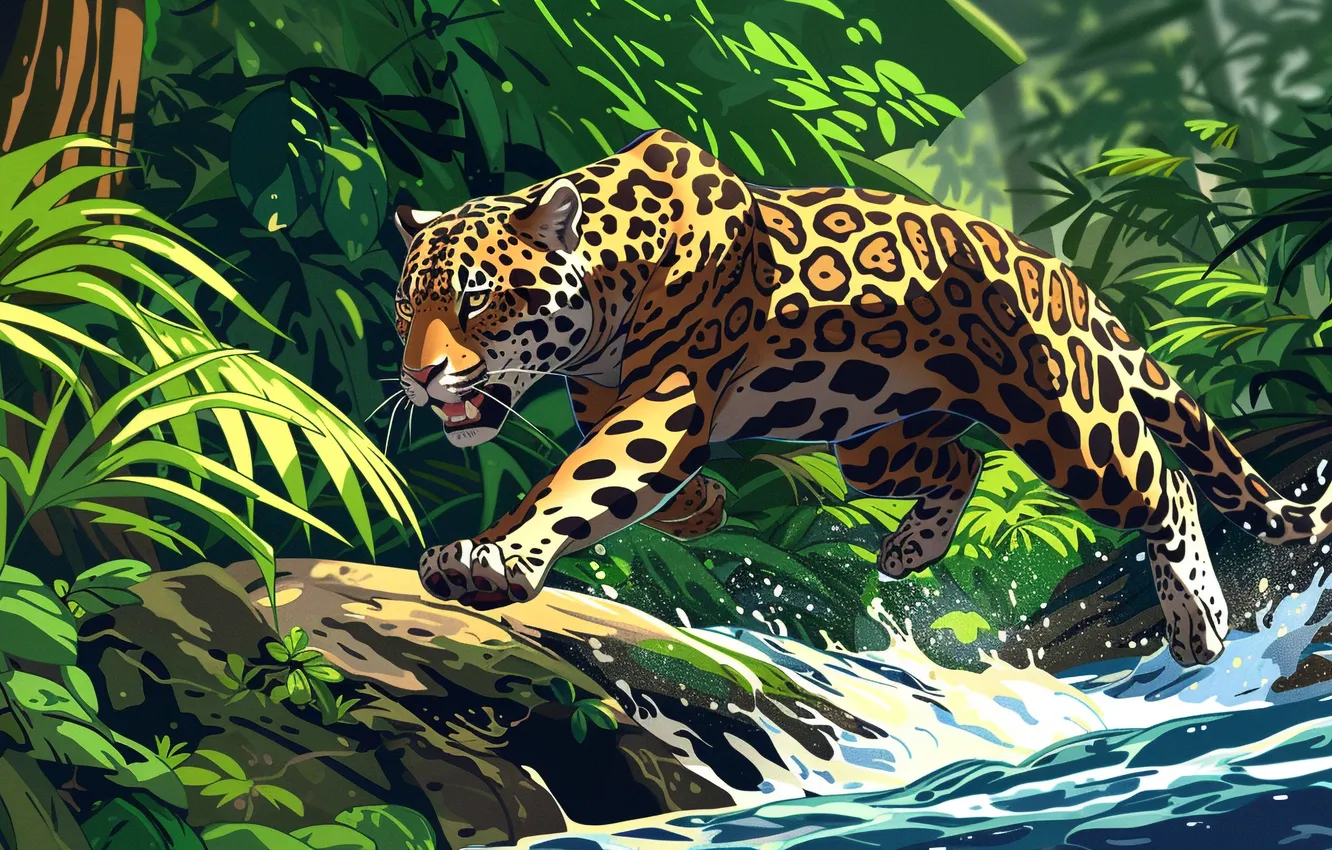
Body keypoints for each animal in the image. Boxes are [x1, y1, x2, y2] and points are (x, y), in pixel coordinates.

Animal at [391, 128, 1332, 667]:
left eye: (476, 299)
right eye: (407, 306)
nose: (418, 376)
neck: (607, 281)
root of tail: (1061, 272)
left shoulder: (662, 400)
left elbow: (578, 480)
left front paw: (492, 560)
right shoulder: (605, 400)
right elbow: (606, 477)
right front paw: (703, 507)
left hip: (1070, 425)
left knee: (1162, 486)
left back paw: (1199, 619)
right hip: (868, 440)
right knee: (959, 458)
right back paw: (911, 549)